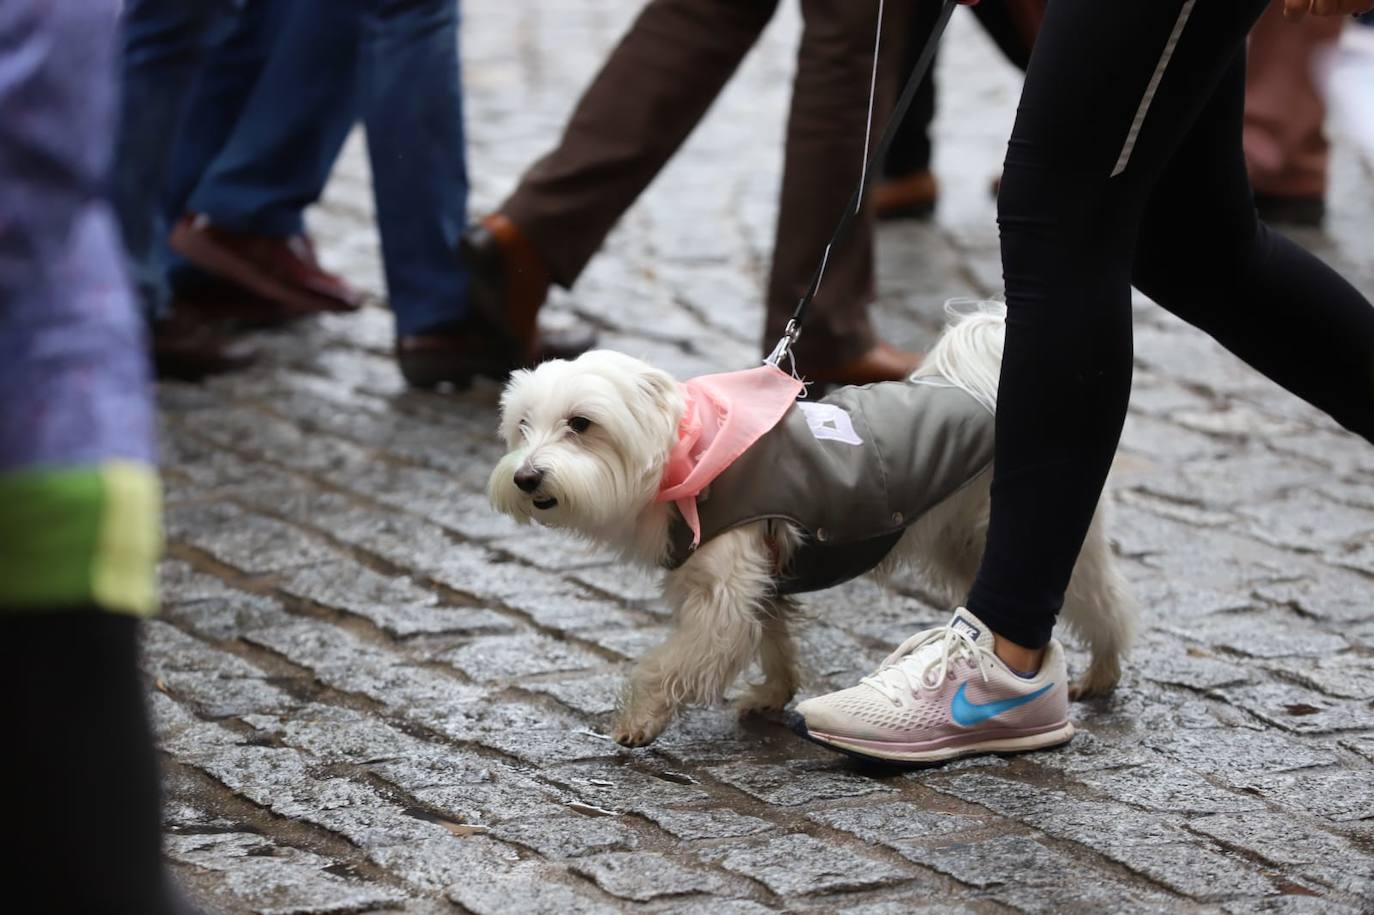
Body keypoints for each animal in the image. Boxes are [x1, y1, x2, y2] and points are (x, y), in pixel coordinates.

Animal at [489, 302, 1132, 747]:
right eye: (522, 426)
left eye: (581, 424)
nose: (525, 477)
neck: (690, 457)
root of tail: (984, 395)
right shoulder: (763, 580)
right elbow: (774, 641)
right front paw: (774, 695)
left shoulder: (723, 599)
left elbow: (671, 663)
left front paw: (639, 720)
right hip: (961, 548)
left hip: (1035, 540)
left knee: (1104, 602)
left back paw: (1101, 672)